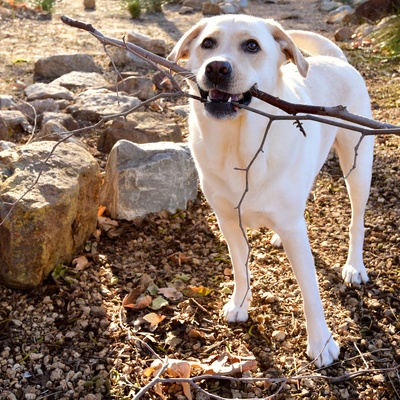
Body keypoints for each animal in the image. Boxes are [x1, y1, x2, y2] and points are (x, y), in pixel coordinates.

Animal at [167, 14, 374, 366]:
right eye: (207, 43)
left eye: (252, 46)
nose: (216, 68)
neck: (239, 149)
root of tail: (337, 60)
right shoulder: (228, 222)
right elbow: (240, 268)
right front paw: (240, 304)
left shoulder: (295, 232)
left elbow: (310, 290)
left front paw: (321, 343)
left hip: (357, 168)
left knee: (356, 221)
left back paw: (354, 267)